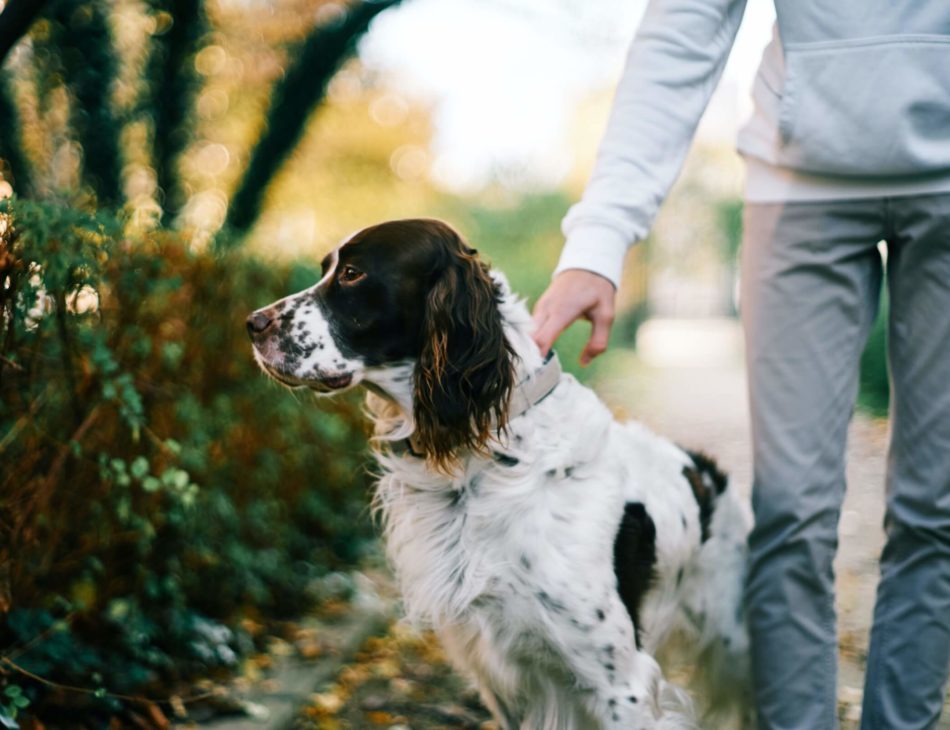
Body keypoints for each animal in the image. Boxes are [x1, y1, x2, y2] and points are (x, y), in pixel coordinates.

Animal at [249, 218, 756, 728]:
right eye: (325, 269)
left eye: (352, 273)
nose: (252, 323)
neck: (482, 459)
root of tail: (713, 475)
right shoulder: (502, 677)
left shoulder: (620, 684)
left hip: (734, 647)